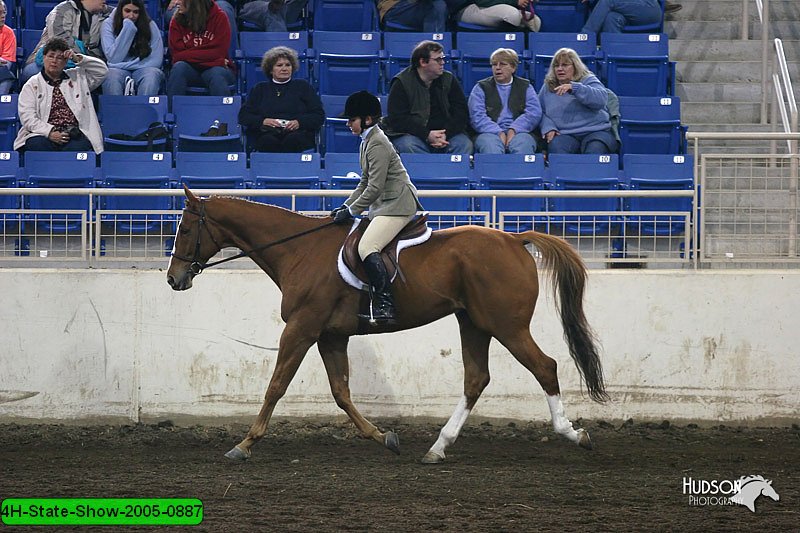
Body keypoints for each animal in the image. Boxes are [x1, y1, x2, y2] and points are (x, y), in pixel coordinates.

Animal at [169, 187, 608, 462]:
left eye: (186, 229)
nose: (175, 279)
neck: (299, 250)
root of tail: (515, 239)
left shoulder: (301, 329)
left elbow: (276, 386)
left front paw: (244, 444)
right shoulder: (330, 336)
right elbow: (341, 393)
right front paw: (384, 438)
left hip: (507, 326)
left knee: (544, 367)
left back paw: (574, 434)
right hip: (474, 323)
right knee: (476, 379)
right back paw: (437, 447)